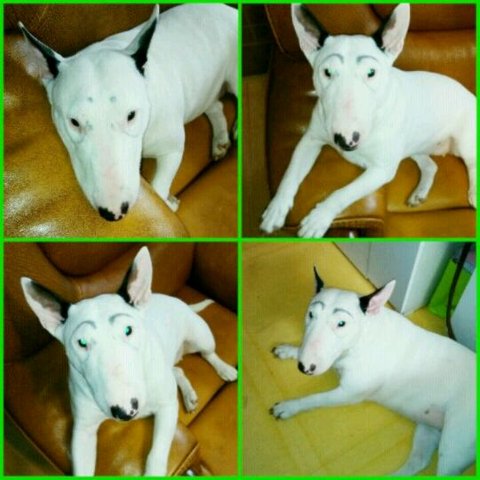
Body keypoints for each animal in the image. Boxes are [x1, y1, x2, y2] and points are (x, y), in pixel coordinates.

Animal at [19, 4, 237, 221]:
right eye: (74, 122)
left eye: (131, 115)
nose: (114, 212)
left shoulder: (173, 148)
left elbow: (159, 188)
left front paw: (169, 203)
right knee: (216, 105)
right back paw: (220, 140)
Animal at [20, 246, 237, 476]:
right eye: (81, 342)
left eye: (128, 330)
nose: (126, 412)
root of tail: (179, 302)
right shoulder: (82, 431)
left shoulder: (167, 407)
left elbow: (157, 454)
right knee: (177, 370)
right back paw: (189, 396)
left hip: (200, 336)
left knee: (208, 354)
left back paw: (225, 370)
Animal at [261, 4, 476, 237]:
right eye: (327, 72)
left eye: (371, 72)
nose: (346, 140)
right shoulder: (309, 139)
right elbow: (290, 175)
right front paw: (275, 209)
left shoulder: (382, 170)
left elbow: (343, 193)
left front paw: (318, 219)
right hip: (413, 145)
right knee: (430, 166)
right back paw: (419, 193)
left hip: (464, 142)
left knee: (472, 163)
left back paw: (473, 194)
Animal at [270, 268, 476, 475]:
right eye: (310, 314)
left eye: (342, 323)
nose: (304, 367)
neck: (363, 338)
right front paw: (288, 350)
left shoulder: (349, 393)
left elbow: (314, 399)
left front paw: (289, 406)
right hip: (428, 426)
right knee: (418, 461)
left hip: (453, 445)